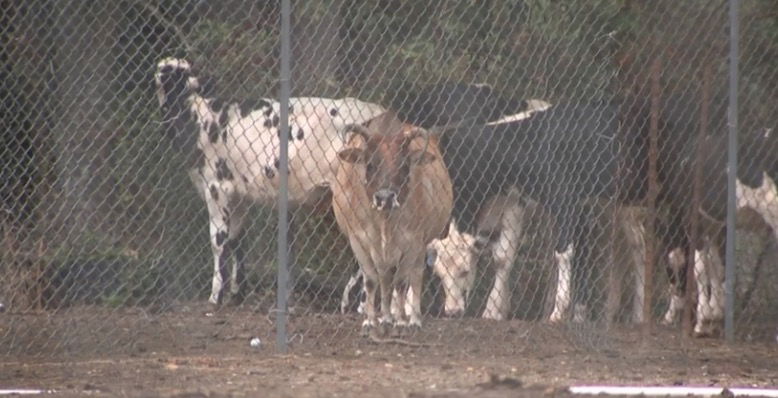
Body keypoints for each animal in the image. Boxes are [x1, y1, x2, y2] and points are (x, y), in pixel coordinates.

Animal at [155, 57, 384, 306]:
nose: (196, 83)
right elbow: (236, 240)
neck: (199, 117)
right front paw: (237, 293)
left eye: (181, 74)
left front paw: (215, 297)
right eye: (164, 72)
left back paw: (358, 302)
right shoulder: (239, 194)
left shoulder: (216, 187)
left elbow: (219, 241)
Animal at [330, 112, 452, 336]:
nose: (385, 198)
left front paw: (402, 321)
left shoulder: (413, 242)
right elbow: (371, 281)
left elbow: (402, 282)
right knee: (385, 279)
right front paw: (370, 321)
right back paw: (385, 317)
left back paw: (411, 318)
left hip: (421, 246)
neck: (384, 222)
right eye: (369, 164)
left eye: (404, 166)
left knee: (414, 276)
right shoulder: (359, 241)